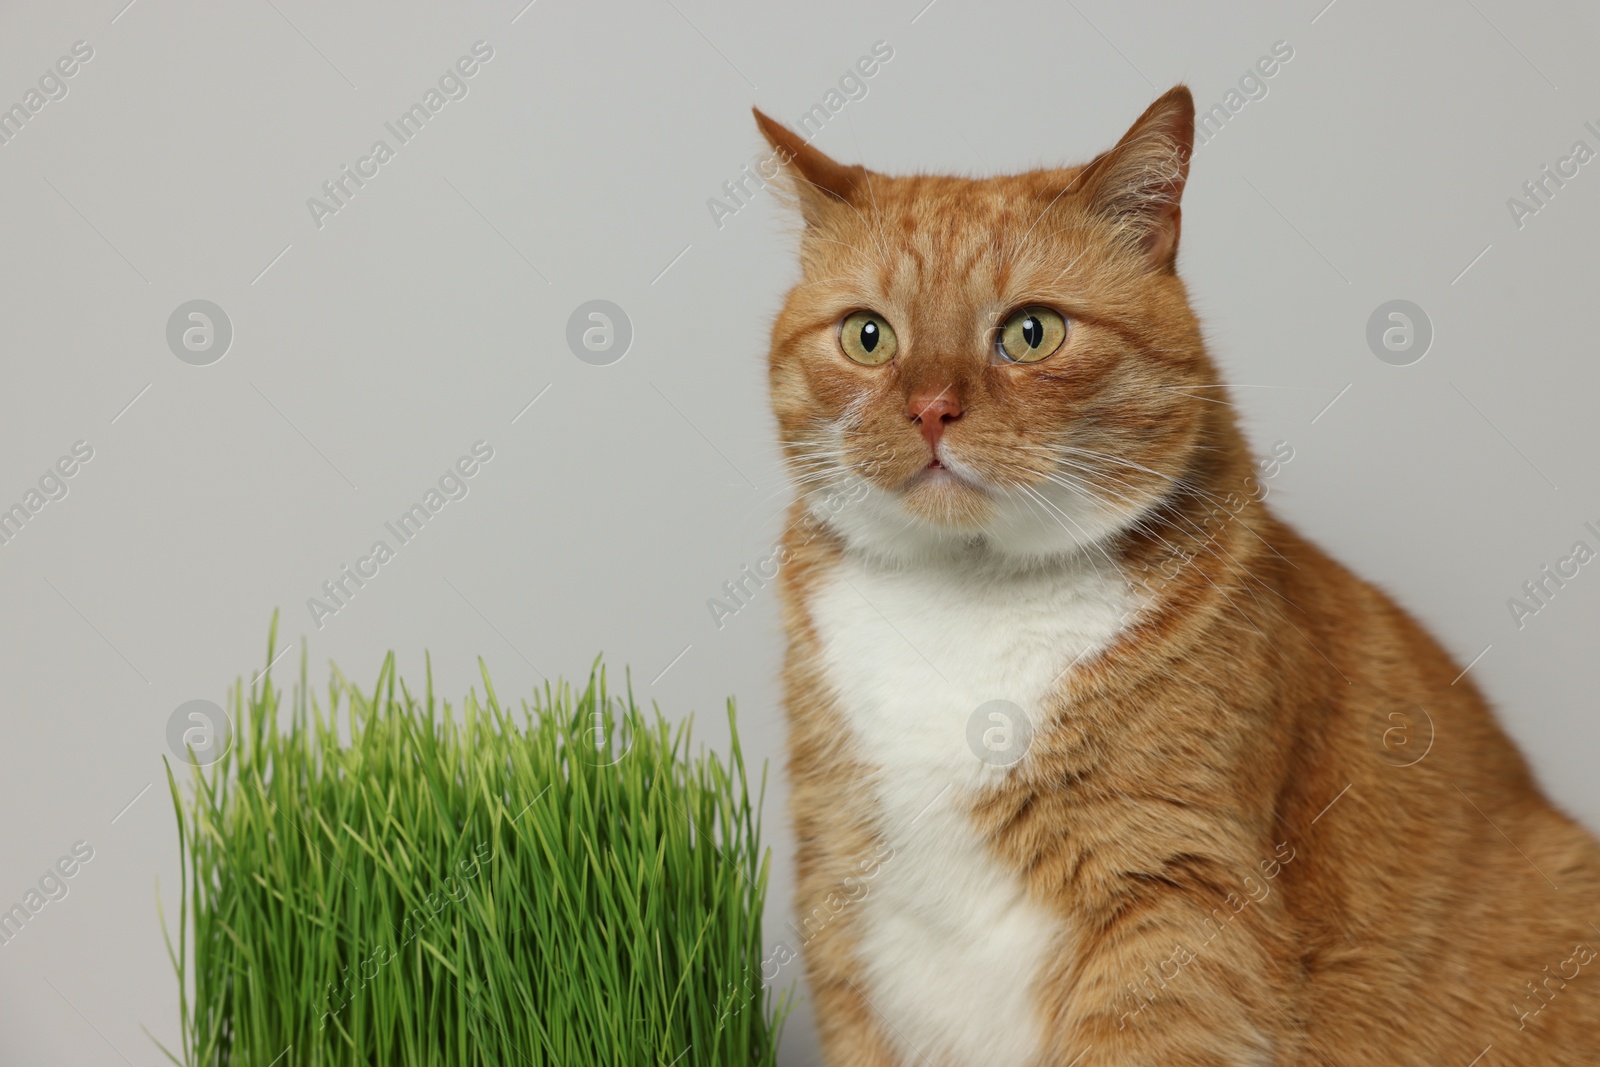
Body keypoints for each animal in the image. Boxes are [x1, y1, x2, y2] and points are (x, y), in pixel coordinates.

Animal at [755, 87, 1600, 1062]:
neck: (964, 603)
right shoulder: (840, 894)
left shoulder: (1175, 893)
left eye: (1031, 333)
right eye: (868, 336)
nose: (931, 408)